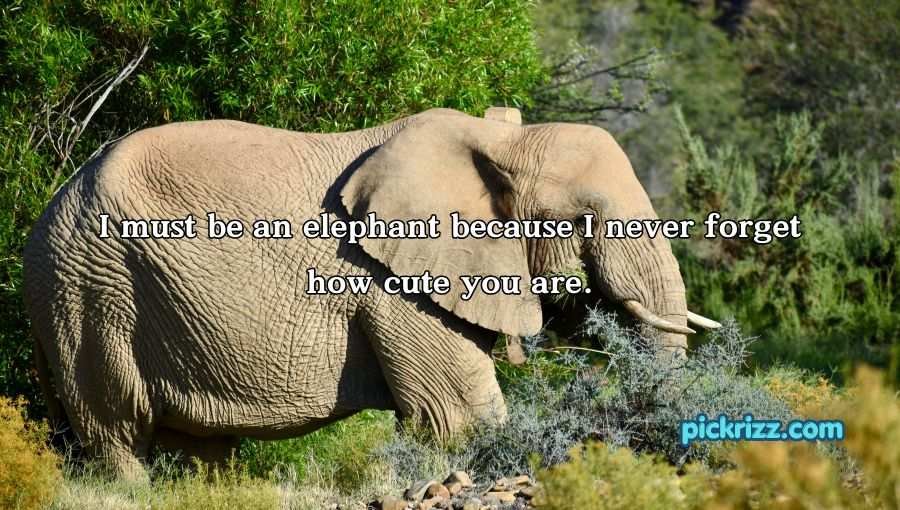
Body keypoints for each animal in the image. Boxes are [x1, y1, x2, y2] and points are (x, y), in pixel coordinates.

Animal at [23, 106, 720, 478]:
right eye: (580, 218)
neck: (498, 141)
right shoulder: (395, 285)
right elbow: (459, 420)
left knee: (194, 450)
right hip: (90, 291)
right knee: (116, 435)